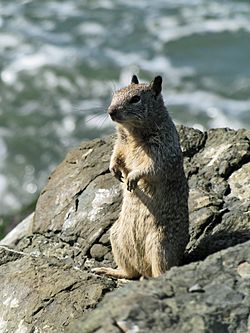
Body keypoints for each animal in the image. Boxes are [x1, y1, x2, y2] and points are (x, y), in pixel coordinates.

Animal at [93, 74, 188, 278]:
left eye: (135, 99)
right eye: (114, 94)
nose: (110, 111)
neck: (132, 133)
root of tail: (144, 269)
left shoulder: (162, 150)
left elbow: (151, 168)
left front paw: (132, 178)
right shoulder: (120, 143)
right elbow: (116, 154)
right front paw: (113, 169)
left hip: (160, 247)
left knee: (159, 271)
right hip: (116, 237)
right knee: (129, 273)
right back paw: (108, 270)